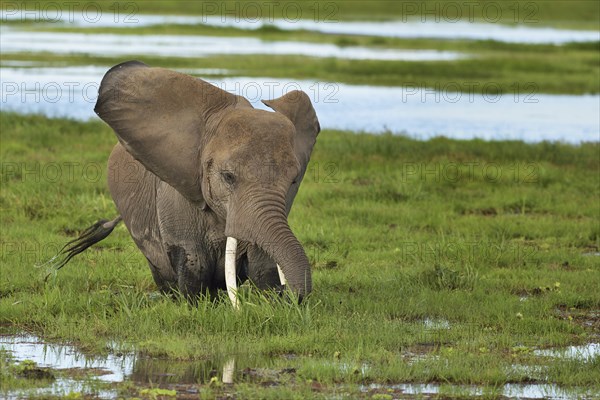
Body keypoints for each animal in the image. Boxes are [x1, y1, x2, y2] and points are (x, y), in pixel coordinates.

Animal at [54, 61, 322, 306]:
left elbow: (263, 263)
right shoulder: (175, 197)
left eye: (293, 180)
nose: (286, 295)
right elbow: (195, 262)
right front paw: (196, 307)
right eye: (228, 177)